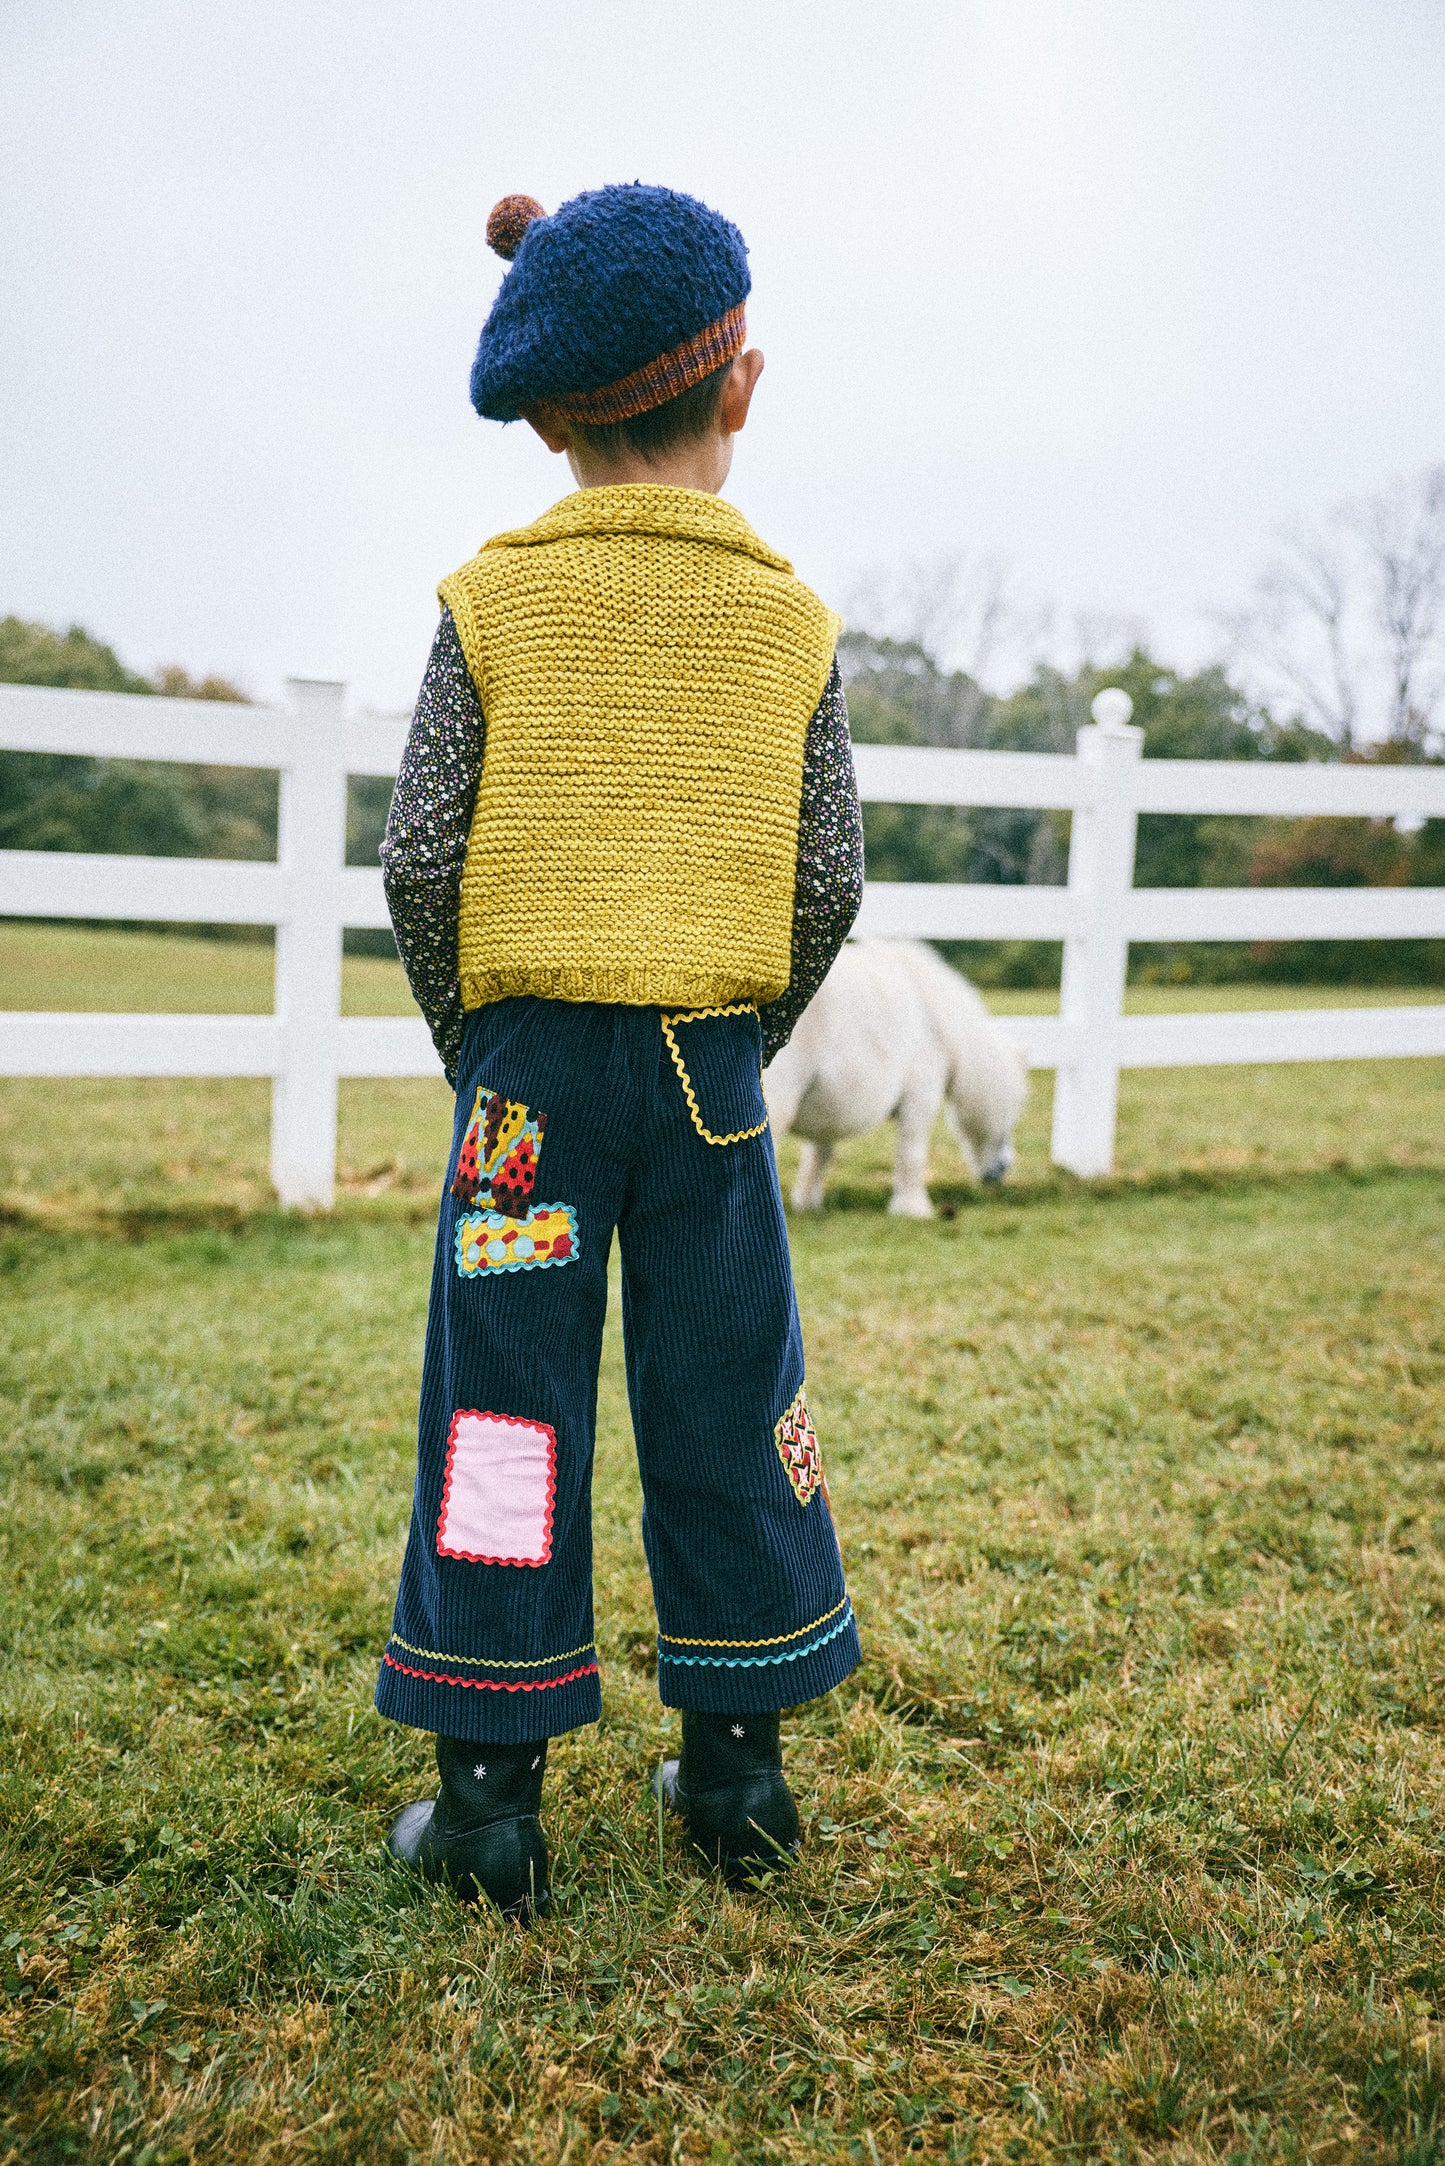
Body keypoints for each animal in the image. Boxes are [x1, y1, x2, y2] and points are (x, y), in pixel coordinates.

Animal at [766, 944, 1026, 1230]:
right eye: (1013, 1114)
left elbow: (819, 1156)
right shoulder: (920, 1100)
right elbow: (911, 1156)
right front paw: (913, 1209)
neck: (934, 1021)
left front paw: (808, 1204)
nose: (1003, 1168)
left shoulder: (828, 1112)